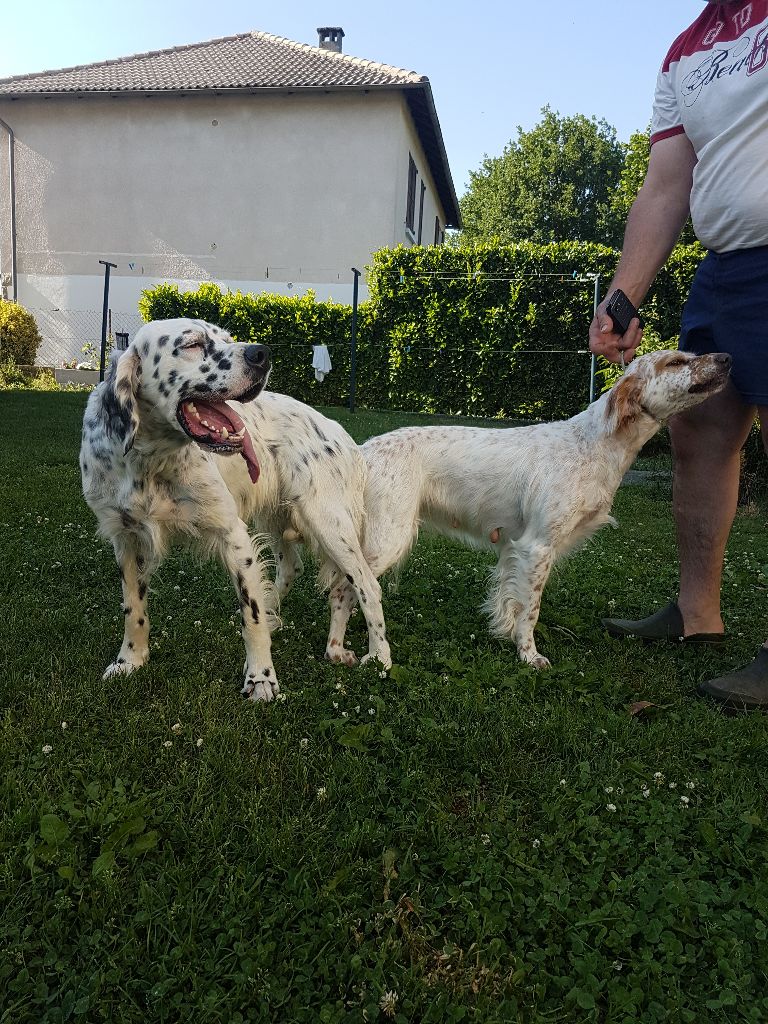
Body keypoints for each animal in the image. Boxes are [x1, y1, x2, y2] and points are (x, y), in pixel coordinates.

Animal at [80, 317, 391, 704]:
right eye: (192, 344)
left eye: (227, 338)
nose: (262, 353)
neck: (151, 460)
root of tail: (341, 433)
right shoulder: (126, 538)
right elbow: (133, 609)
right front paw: (129, 660)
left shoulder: (233, 534)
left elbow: (250, 616)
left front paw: (261, 678)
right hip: (278, 519)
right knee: (292, 567)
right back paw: (291, 623)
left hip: (329, 524)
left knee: (365, 585)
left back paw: (378, 656)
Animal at [319, 352, 733, 671]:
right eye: (675, 361)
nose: (727, 358)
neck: (592, 444)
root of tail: (363, 451)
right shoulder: (538, 546)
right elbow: (530, 610)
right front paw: (529, 655)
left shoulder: (515, 549)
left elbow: (512, 601)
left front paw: (507, 635)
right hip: (387, 538)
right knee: (346, 588)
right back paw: (356, 652)